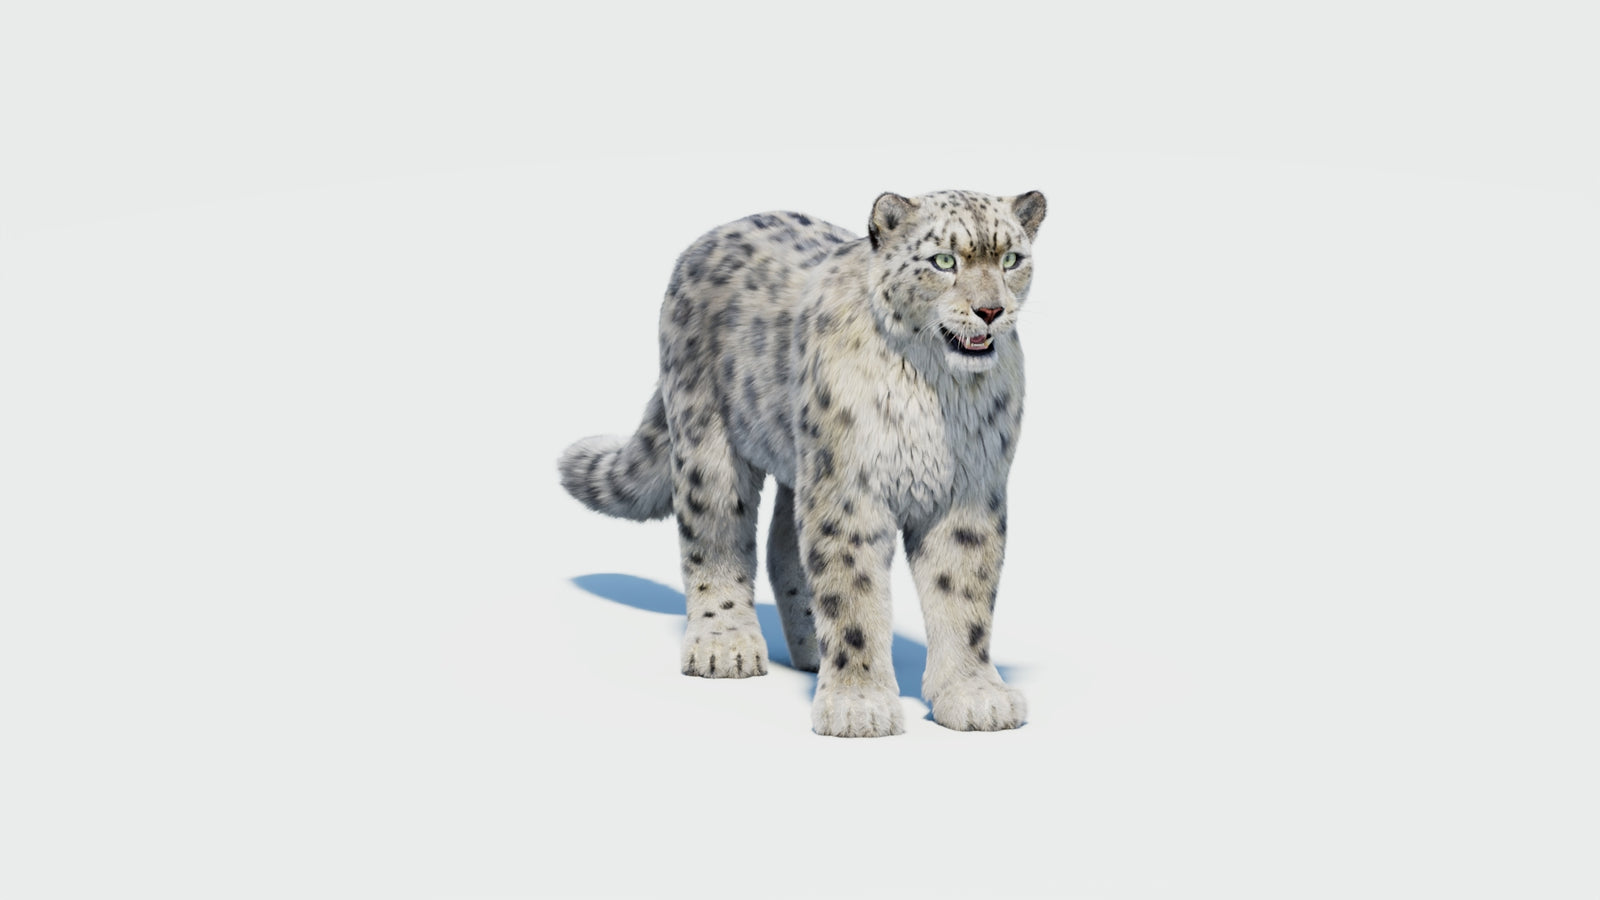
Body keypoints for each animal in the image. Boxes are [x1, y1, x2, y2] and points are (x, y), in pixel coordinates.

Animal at [559, 189, 1046, 737]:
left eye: (1011, 259)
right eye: (944, 260)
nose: (990, 311)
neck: (935, 389)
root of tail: (712, 236)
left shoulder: (969, 491)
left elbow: (964, 596)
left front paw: (973, 695)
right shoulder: (850, 490)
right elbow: (852, 592)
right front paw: (859, 705)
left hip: (805, 466)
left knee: (783, 546)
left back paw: (812, 648)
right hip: (710, 442)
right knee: (714, 537)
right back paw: (725, 645)